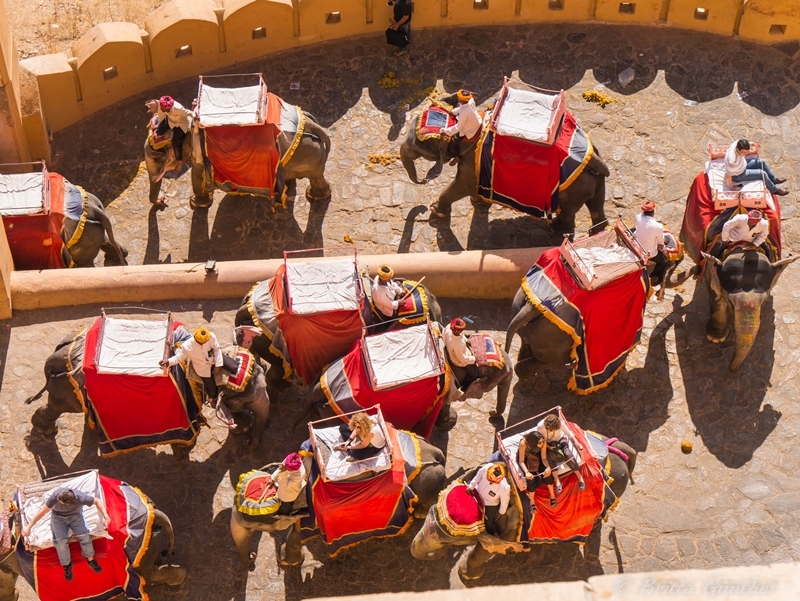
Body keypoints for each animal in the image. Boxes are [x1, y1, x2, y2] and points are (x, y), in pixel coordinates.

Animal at [25, 328, 272, 450]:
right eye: (246, 398)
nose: (250, 445)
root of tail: (54, 360)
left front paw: (242, 427)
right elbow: (188, 430)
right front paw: (185, 449)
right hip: (67, 390)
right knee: (58, 407)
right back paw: (45, 430)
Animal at [143, 101, 332, 209]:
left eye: (156, 157)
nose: (162, 201)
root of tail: (313, 125)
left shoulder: (198, 153)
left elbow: (196, 175)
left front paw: (196, 204)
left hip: (307, 154)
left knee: (314, 176)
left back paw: (312, 196)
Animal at [230, 436, 450, 568]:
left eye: (251, 526)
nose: (252, 557)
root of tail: (437, 453)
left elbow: (298, 532)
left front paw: (288, 562)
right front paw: (287, 561)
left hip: (428, 480)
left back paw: (419, 514)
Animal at [400, 92, 612, 236]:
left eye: (418, 150)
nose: (424, 180)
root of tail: (594, 158)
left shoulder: (470, 159)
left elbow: (462, 185)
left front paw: (435, 211)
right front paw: (478, 201)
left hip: (573, 189)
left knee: (569, 211)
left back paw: (556, 231)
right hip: (592, 182)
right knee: (596, 204)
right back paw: (598, 231)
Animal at [410, 434, 636, 580]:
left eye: (452, 541)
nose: (439, 556)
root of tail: (619, 449)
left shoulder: (511, 523)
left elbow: (485, 548)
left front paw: (468, 577)